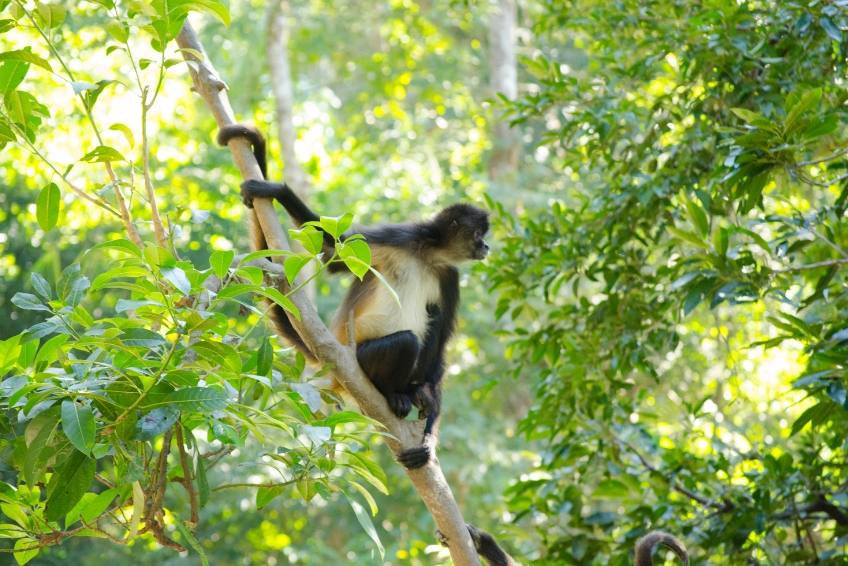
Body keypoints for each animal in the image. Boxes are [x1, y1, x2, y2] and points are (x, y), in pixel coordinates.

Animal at [217, 124, 490, 470]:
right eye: (478, 235)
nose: (486, 247)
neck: (428, 256)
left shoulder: (449, 277)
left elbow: (440, 345)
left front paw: (429, 436)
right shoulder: (401, 237)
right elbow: (333, 251)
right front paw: (278, 191)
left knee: (433, 321)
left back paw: (415, 394)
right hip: (357, 358)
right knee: (407, 341)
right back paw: (394, 395)